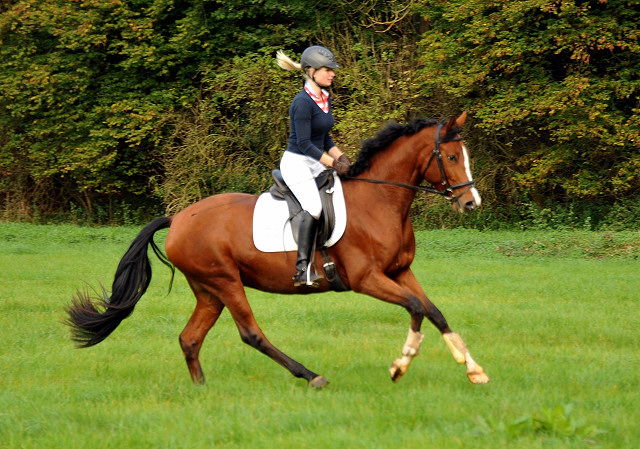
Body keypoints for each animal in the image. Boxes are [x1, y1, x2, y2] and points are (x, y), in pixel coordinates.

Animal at [66, 111, 490, 384]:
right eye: (451, 156)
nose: (472, 204)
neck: (381, 199)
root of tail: (178, 219)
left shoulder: (400, 272)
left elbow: (435, 312)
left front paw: (473, 368)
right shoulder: (367, 279)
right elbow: (417, 308)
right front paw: (400, 365)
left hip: (208, 290)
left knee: (190, 338)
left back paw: (201, 389)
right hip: (225, 282)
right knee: (251, 333)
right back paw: (310, 375)